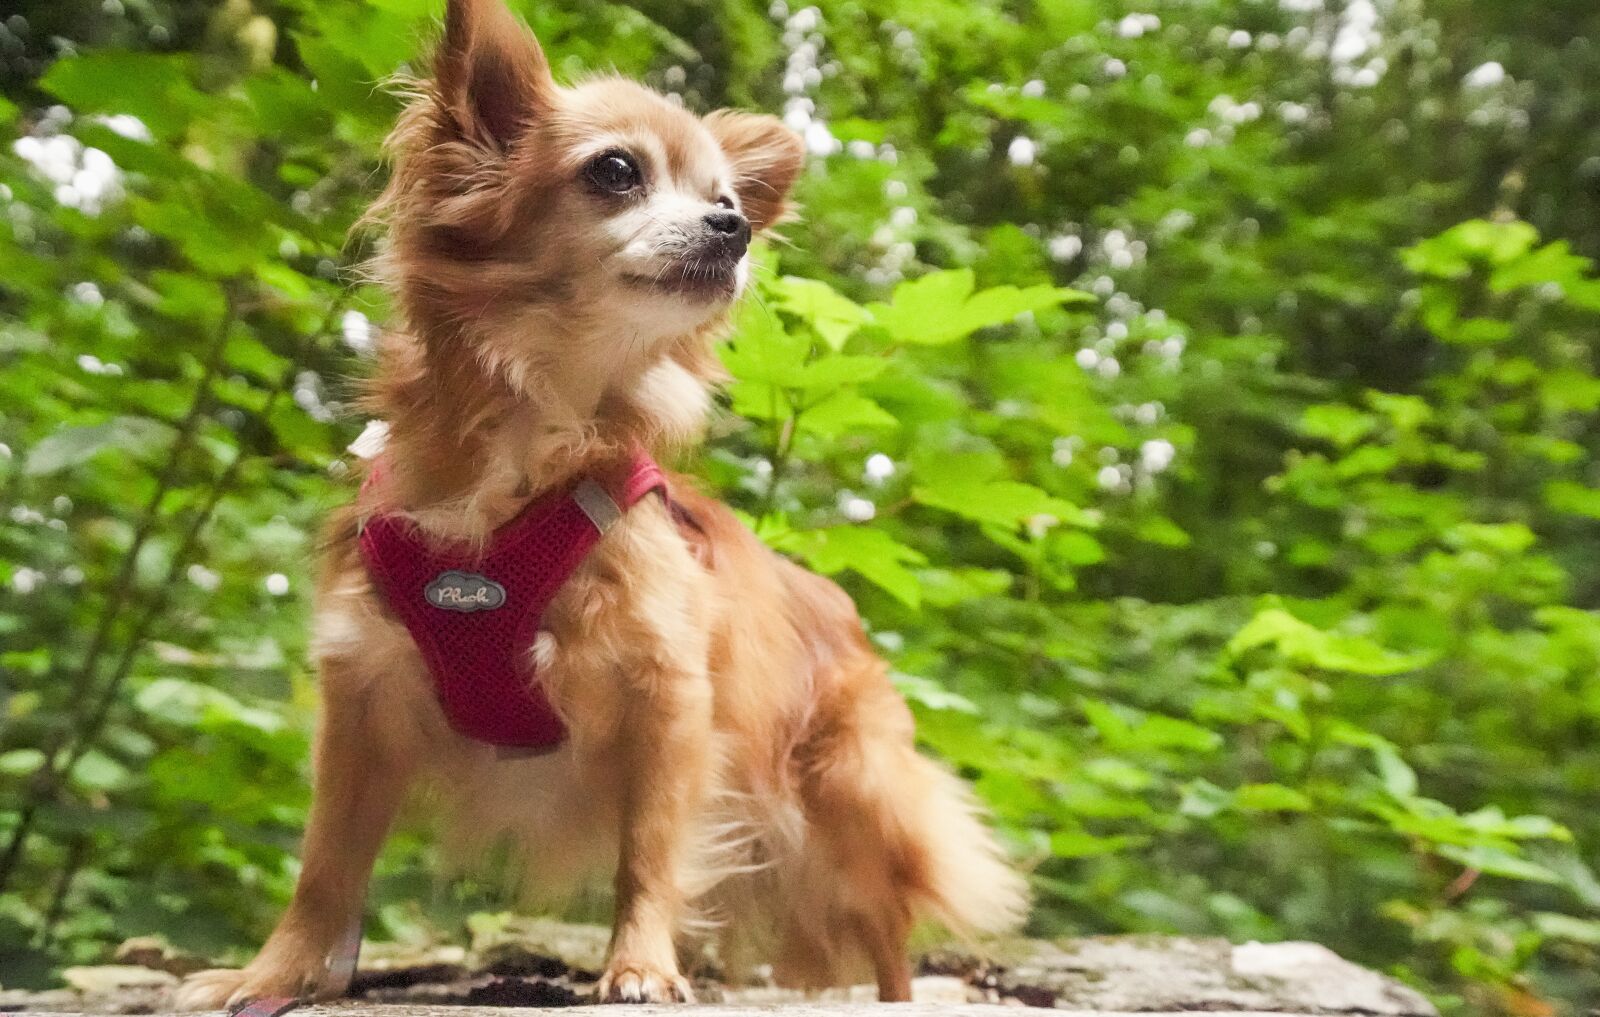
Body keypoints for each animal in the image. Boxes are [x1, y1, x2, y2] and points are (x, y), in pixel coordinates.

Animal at [175, 0, 1024, 1004]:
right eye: (617, 171)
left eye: (729, 197)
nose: (733, 226)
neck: (534, 422)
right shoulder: (362, 697)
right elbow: (325, 865)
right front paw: (277, 972)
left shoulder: (668, 701)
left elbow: (648, 857)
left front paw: (642, 965)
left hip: (855, 795)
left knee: (888, 928)